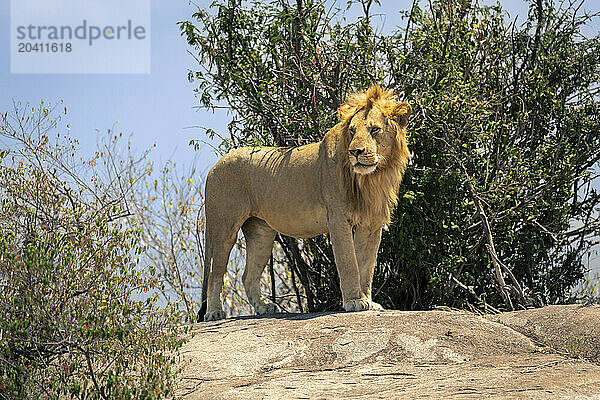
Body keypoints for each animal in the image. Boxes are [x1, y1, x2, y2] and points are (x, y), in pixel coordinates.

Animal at [199, 84, 410, 322]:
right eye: (352, 131)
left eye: (374, 130)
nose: (355, 152)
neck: (371, 178)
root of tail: (215, 166)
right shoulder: (337, 217)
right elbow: (348, 262)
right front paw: (355, 301)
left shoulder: (371, 223)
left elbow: (366, 266)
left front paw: (368, 301)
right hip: (224, 226)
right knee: (215, 272)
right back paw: (214, 312)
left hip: (261, 232)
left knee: (248, 275)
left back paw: (264, 307)